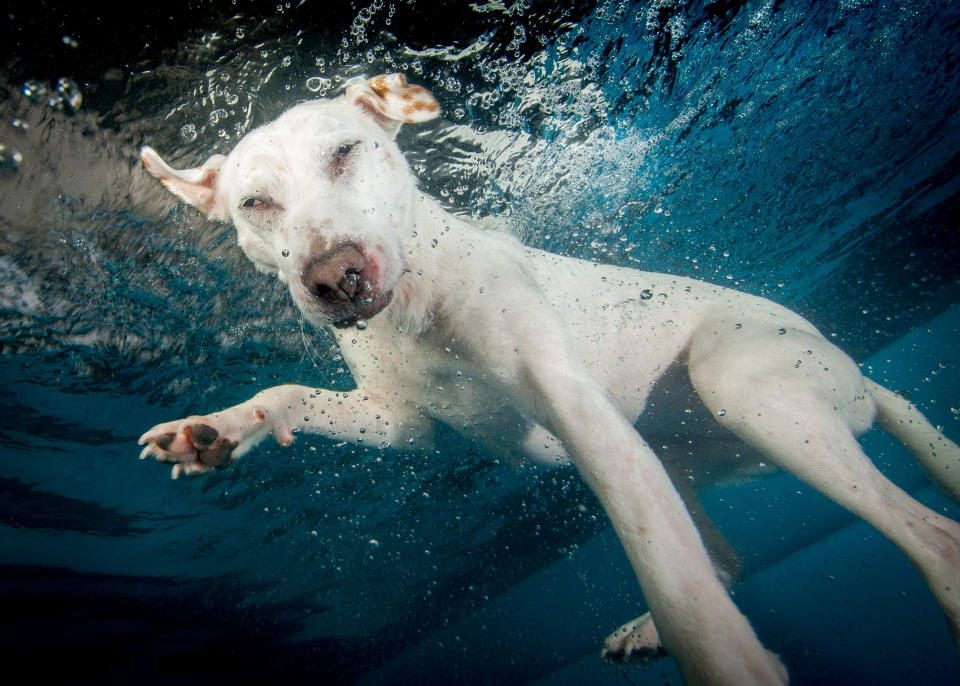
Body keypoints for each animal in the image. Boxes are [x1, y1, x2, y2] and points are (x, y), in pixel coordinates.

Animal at [137, 75, 960, 686]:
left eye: (345, 152)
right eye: (254, 203)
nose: (335, 277)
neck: (412, 308)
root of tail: (862, 375)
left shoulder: (576, 411)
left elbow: (674, 578)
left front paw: (724, 660)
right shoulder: (399, 423)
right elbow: (289, 398)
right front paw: (216, 430)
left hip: (742, 387)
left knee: (930, 539)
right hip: (677, 456)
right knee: (725, 556)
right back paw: (647, 630)